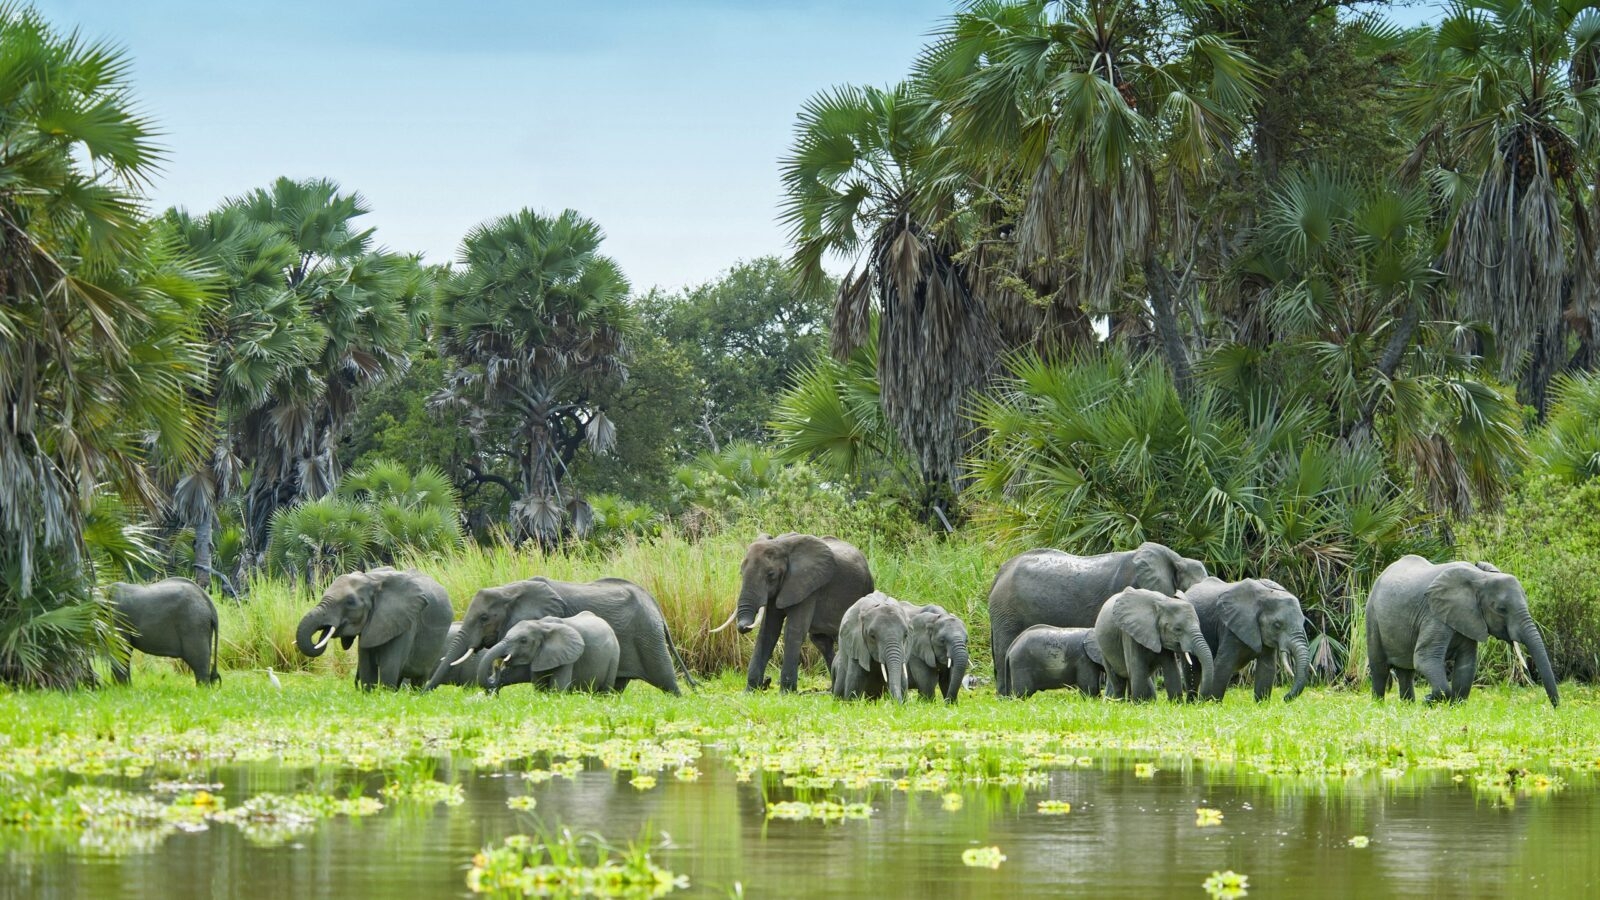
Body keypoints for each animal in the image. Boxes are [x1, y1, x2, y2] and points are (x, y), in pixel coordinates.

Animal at [295, 567, 453, 690]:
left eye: (350, 602)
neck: (372, 579)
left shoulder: (405, 621)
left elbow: (389, 667)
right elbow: (367, 667)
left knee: (419, 679)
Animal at [477, 612, 620, 693]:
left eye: (523, 641)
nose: (497, 667)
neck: (541, 625)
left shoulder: (568, 656)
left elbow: (557, 688)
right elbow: (539, 685)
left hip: (614, 656)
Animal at [711, 532, 874, 693]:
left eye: (771, 574)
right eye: (741, 572)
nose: (743, 627)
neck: (781, 545)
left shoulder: (808, 587)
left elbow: (793, 631)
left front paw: (786, 692)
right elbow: (767, 633)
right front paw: (750, 691)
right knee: (821, 641)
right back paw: (830, 690)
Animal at [1181, 576, 1311, 702]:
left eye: (1303, 622)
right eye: (1277, 625)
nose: (1285, 697)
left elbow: (1267, 668)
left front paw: (1262, 704)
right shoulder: (1229, 627)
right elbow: (1223, 665)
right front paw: (1211, 703)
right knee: (1193, 669)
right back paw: (1193, 703)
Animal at [1366, 555, 1559, 707]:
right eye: (1502, 609)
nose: (1556, 707)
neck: (1481, 578)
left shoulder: (1468, 617)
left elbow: (1467, 663)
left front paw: (1455, 707)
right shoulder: (1434, 614)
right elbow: (1425, 658)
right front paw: (1428, 700)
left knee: (1406, 671)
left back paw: (1408, 707)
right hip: (1372, 615)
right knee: (1380, 668)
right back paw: (1379, 706)